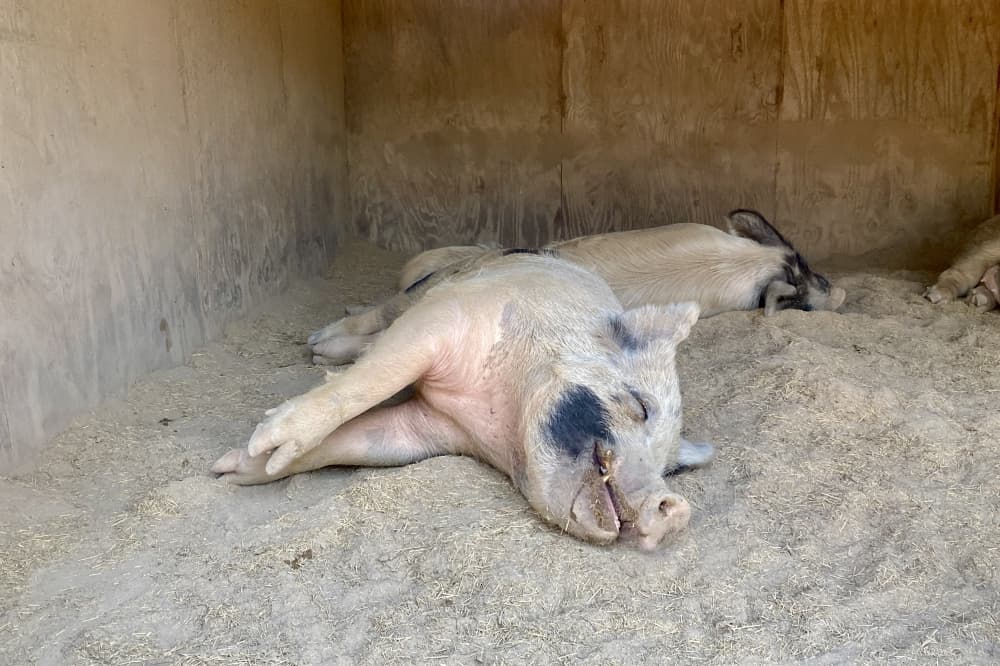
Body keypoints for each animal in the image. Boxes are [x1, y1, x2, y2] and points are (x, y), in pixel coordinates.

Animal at [213, 252, 714, 550]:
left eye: (671, 470)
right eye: (642, 407)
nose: (674, 509)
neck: (496, 410)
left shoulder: (430, 428)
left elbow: (358, 442)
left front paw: (231, 471)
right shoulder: (447, 316)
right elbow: (375, 378)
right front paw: (263, 446)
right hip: (414, 295)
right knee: (374, 321)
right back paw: (320, 346)